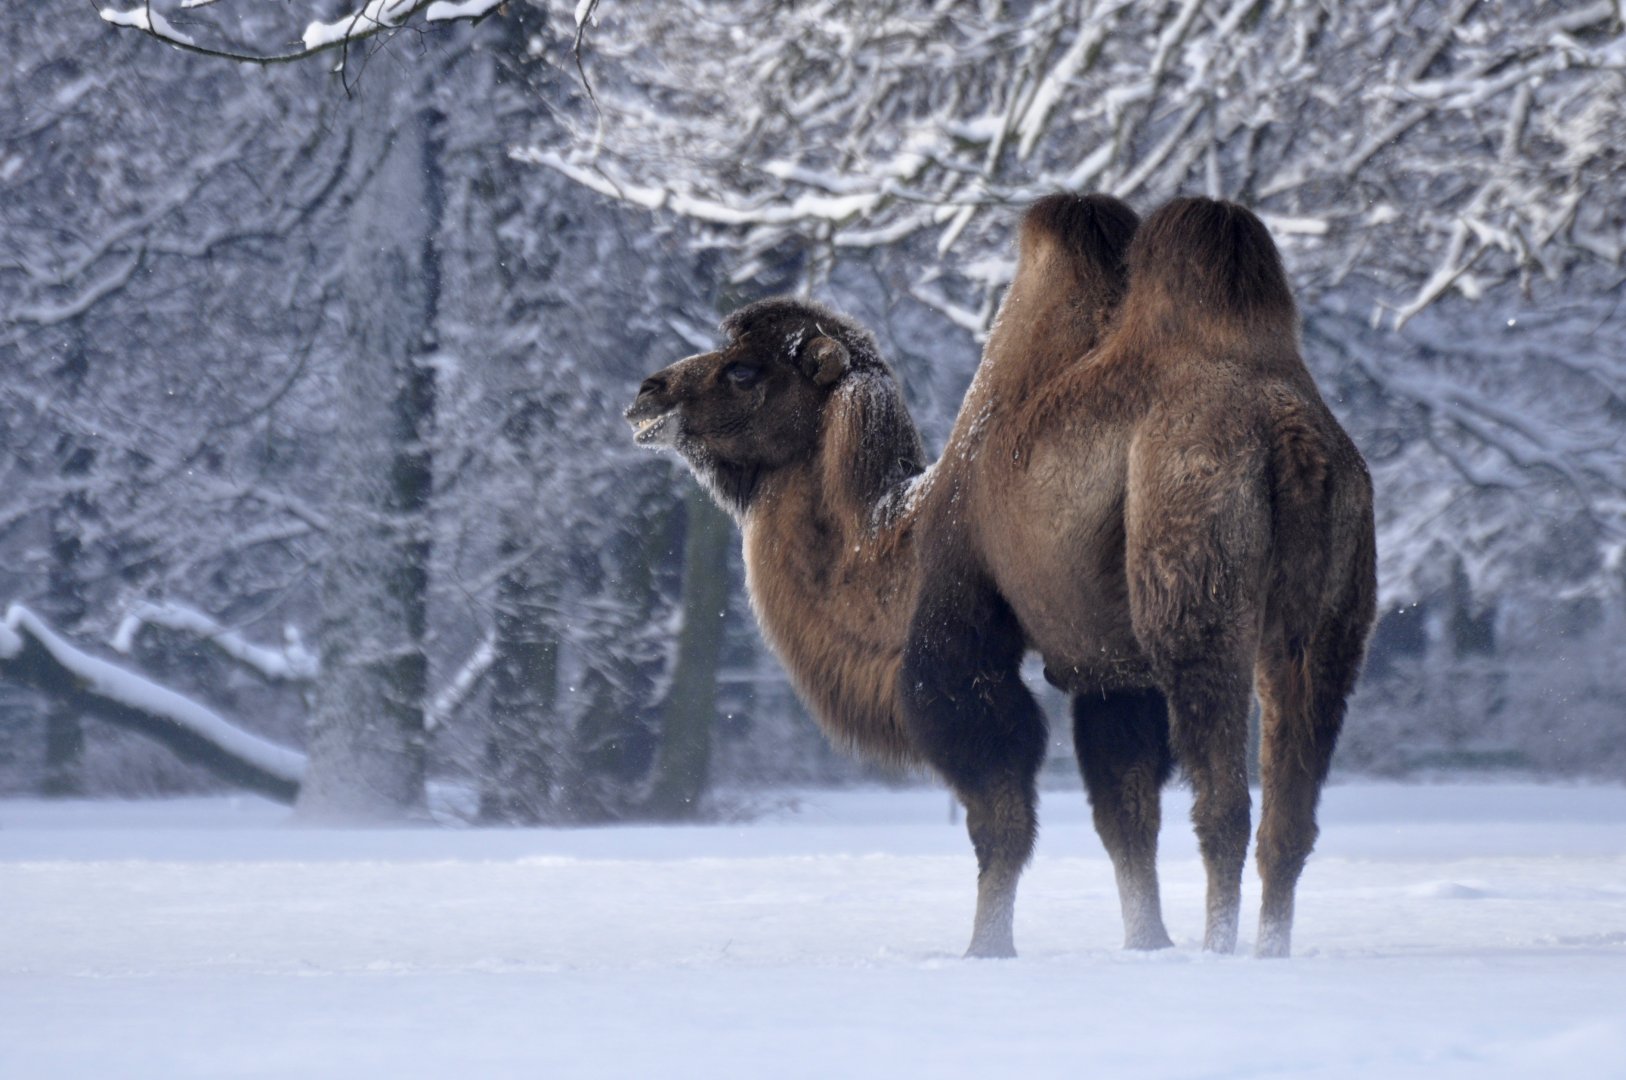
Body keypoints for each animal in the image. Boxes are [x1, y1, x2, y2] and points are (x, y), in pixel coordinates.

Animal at [625, 194, 1377, 960]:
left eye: (743, 371)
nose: (648, 394)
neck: (898, 531)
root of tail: (1287, 433)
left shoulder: (960, 629)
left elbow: (1002, 813)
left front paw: (987, 949)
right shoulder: (1109, 668)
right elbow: (1126, 815)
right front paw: (1147, 944)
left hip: (1194, 589)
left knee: (1224, 798)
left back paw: (1220, 949)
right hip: (1333, 614)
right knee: (1290, 810)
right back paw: (1269, 947)